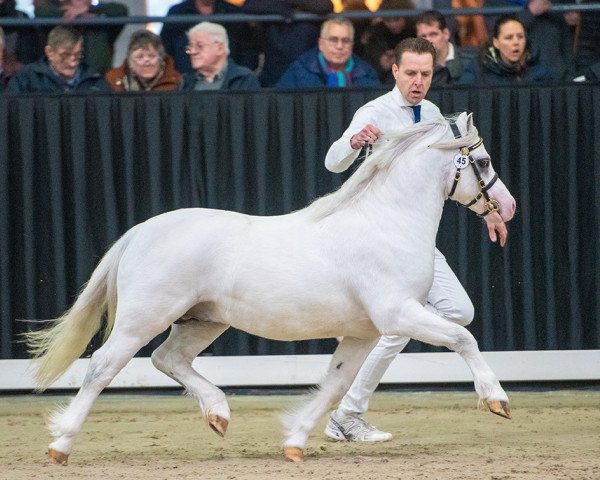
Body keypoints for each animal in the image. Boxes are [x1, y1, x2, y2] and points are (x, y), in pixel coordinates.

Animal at [27, 112, 516, 464]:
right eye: (483, 161)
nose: (507, 207)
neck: (385, 223)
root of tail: (139, 232)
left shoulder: (364, 332)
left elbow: (335, 385)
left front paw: (295, 442)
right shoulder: (398, 313)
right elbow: (462, 338)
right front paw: (498, 401)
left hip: (202, 320)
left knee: (169, 359)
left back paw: (219, 414)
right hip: (142, 318)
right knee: (102, 367)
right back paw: (61, 445)